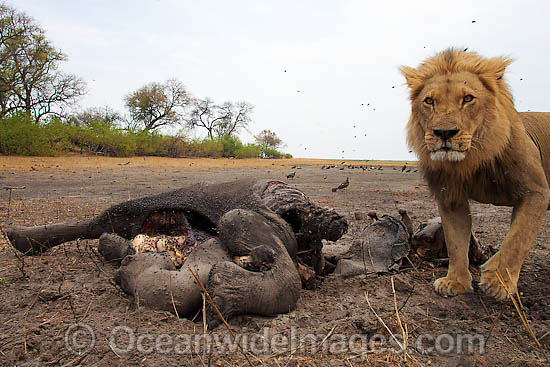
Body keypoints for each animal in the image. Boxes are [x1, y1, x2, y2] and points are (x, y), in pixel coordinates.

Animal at [402, 49, 550, 300]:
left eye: (468, 99)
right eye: (429, 101)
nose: (444, 133)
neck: (473, 160)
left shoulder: (535, 191)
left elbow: (517, 239)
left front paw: (498, 281)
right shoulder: (451, 198)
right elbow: (456, 241)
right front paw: (455, 282)